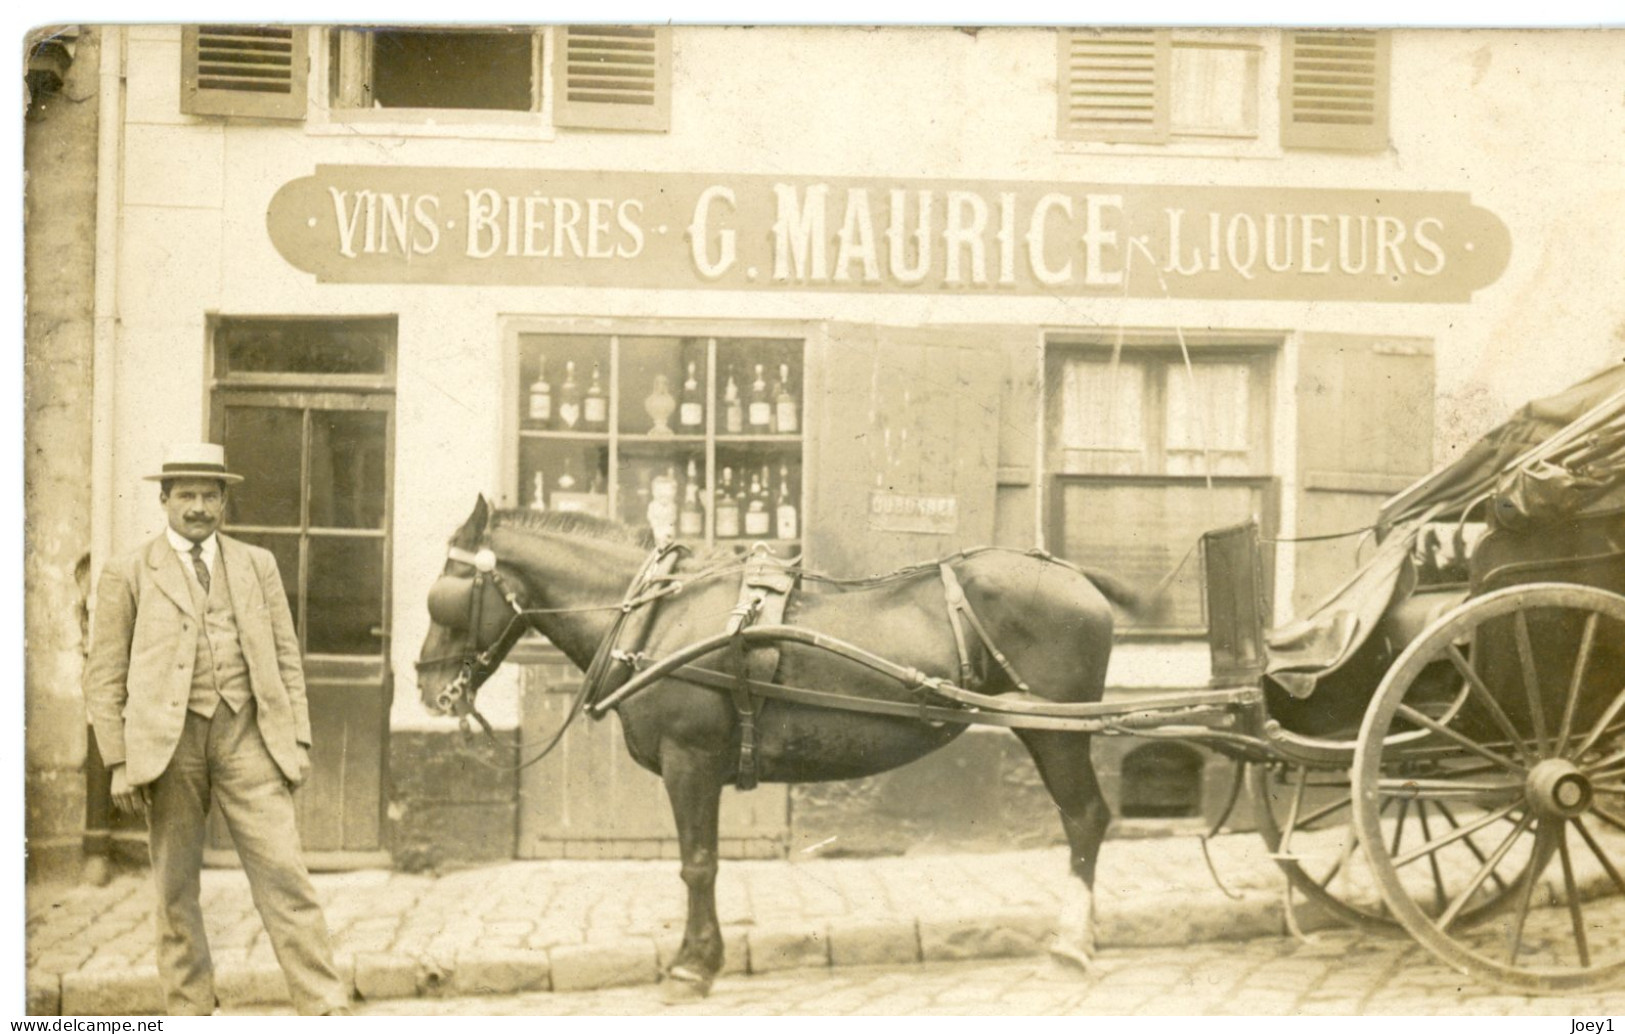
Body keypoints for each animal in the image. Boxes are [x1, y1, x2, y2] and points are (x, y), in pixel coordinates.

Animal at [419, 497, 1144, 994]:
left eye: (444, 595)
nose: (429, 689)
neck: (656, 617)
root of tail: (1075, 575)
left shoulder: (690, 761)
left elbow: (698, 863)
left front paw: (691, 966)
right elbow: (701, 863)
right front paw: (701, 958)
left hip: (1053, 729)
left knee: (1085, 819)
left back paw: (1071, 945)